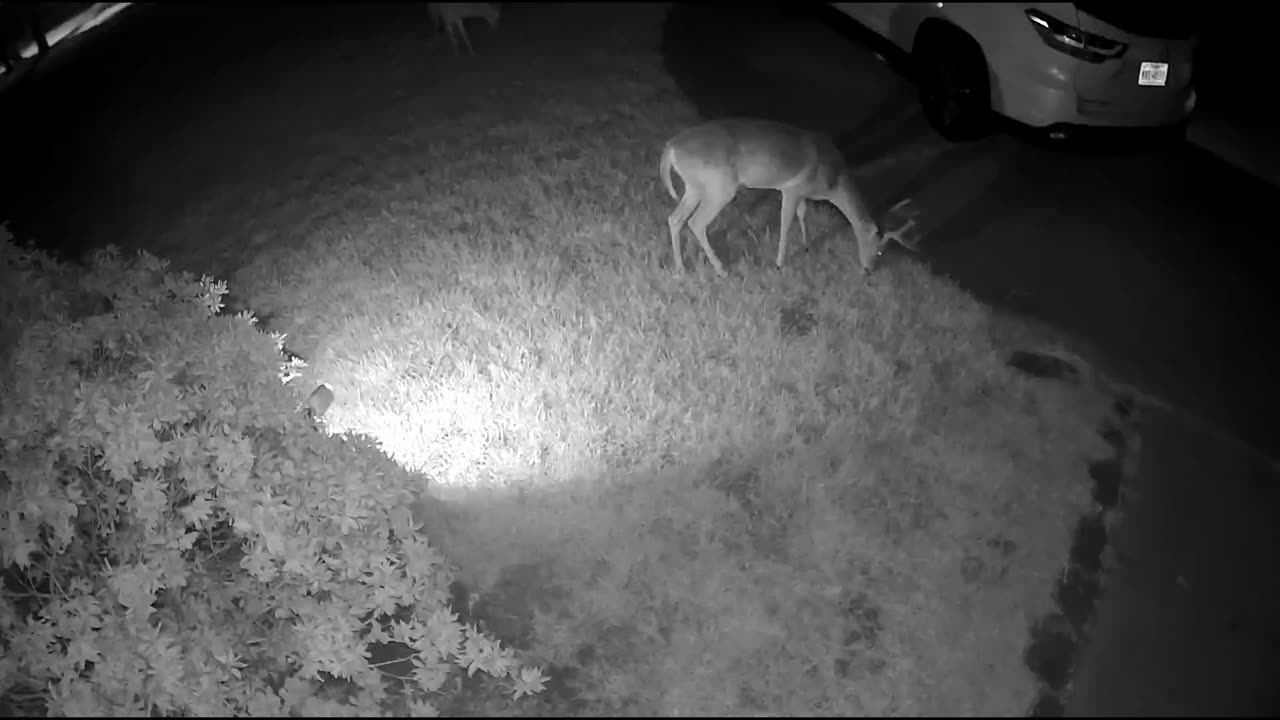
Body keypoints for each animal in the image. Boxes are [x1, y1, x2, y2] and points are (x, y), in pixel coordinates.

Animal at [660, 116, 921, 275]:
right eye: (879, 250)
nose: (869, 269)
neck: (832, 182)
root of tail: (670, 148)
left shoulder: (801, 194)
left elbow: (802, 214)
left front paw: (806, 244)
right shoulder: (792, 189)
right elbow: (786, 223)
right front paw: (779, 263)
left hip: (695, 186)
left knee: (675, 218)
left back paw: (682, 269)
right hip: (720, 186)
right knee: (696, 222)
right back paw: (721, 269)